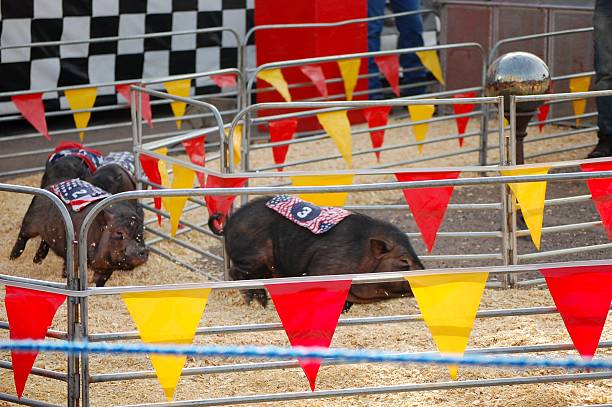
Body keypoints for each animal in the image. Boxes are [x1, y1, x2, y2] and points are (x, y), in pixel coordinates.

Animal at [208, 196, 424, 310]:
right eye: (404, 261)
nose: (424, 272)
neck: (362, 257)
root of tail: (228, 224)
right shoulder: (322, 268)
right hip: (252, 257)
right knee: (238, 273)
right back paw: (260, 302)